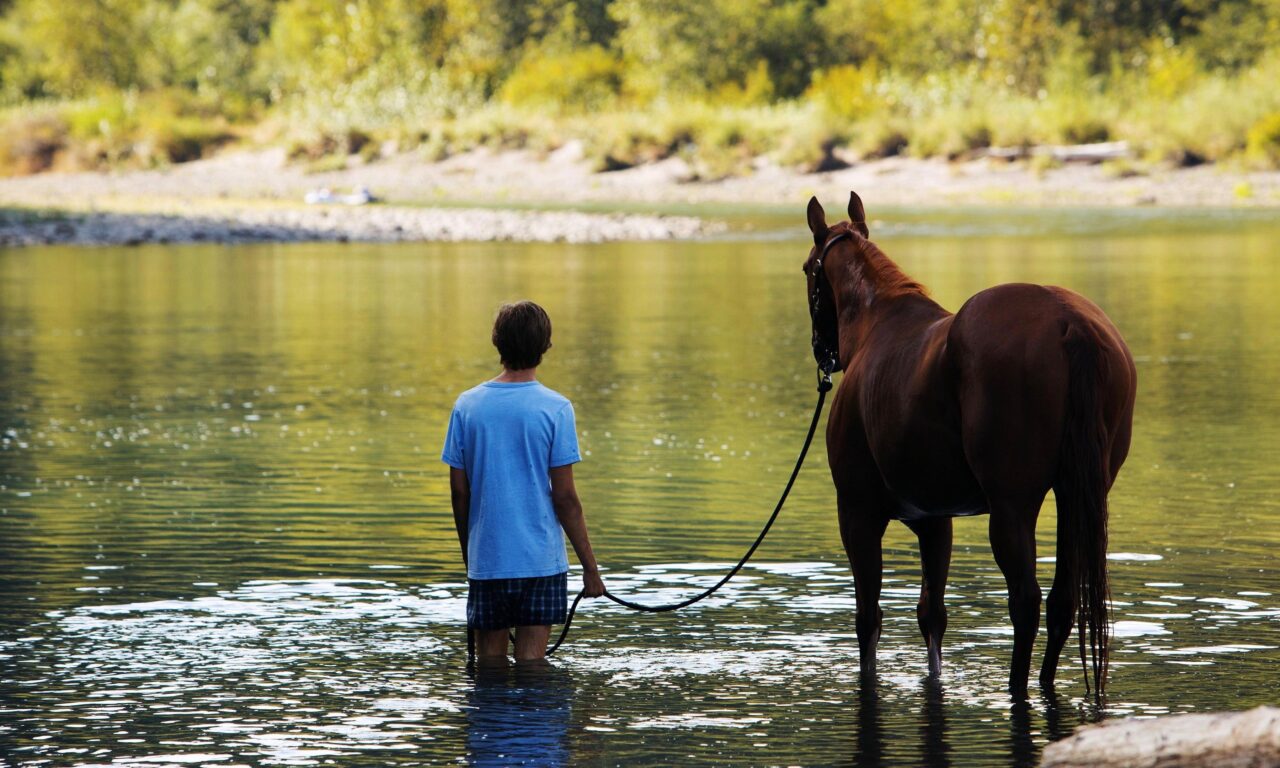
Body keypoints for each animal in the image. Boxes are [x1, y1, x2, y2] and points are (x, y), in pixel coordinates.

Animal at [803, 192, 1136, 696]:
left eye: (808, 270)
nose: (823, 353)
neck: (879, 322)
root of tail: (1069, 319)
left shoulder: (857, 514)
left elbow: (868, 620)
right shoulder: (935, 521)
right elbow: (931, 615)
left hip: (1013, 507)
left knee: (1026, 602)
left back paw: (1017, 687)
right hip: (1076, 496)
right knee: (1062, 601)